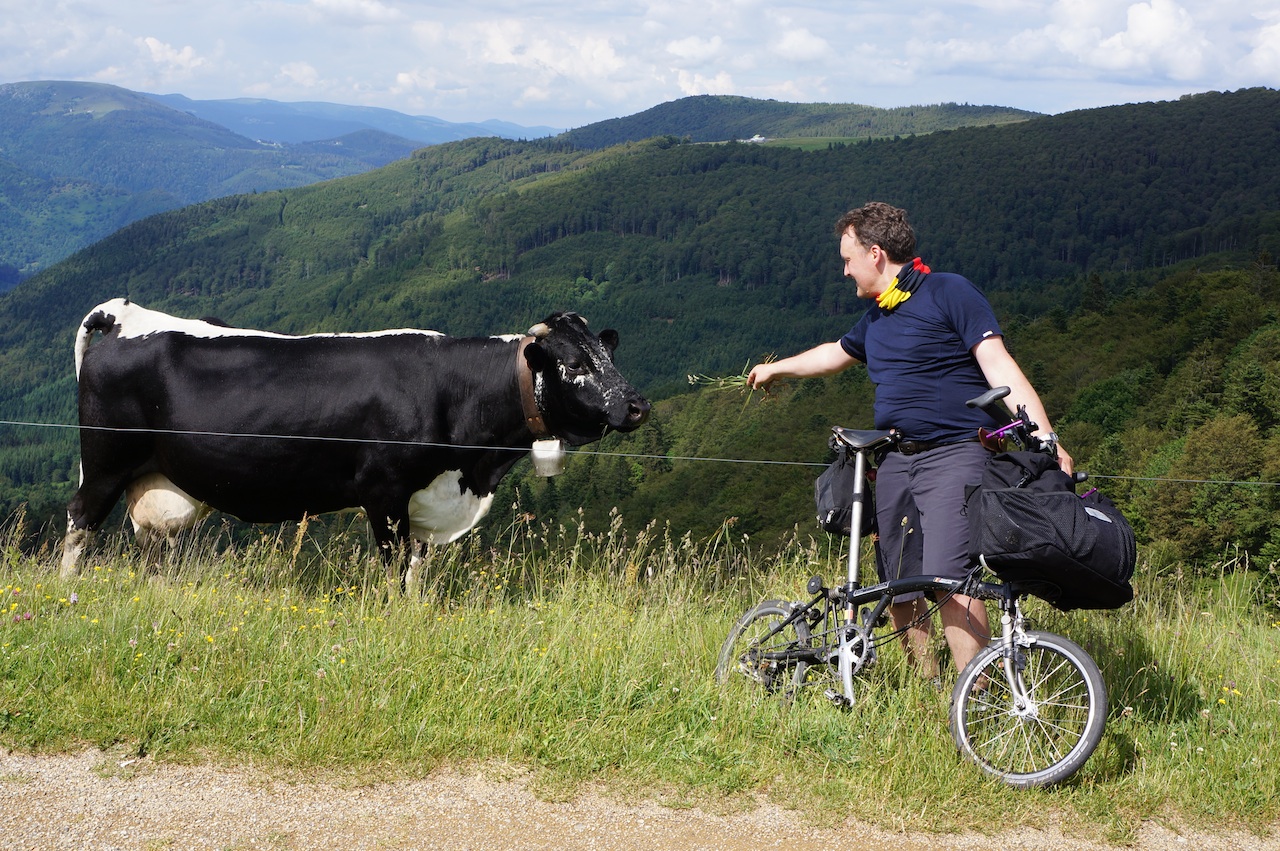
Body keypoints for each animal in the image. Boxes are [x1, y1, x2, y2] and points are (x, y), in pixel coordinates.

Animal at [60, 295, 650, 580]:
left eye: (608, 353)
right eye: (574, 364)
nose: (637, 406)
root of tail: (123, 315)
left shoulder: (422, 502)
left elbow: (415, 574)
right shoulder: (383, 492)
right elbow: (391, 573)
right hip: (106, 462)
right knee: (79, 524)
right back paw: (67, 594)